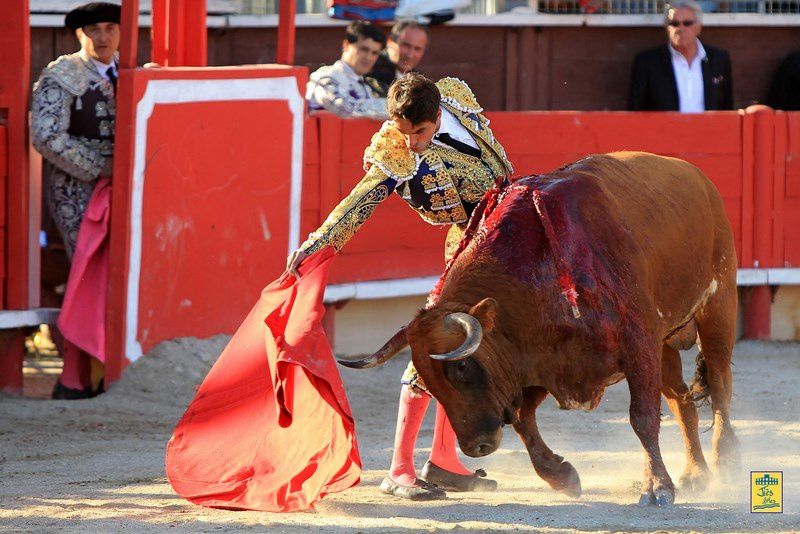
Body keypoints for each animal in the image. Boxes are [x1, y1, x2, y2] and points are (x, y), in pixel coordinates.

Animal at [340, 151, 740, 506]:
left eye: (462, 367)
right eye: (428, 379)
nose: (475, 447)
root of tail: (697, 176)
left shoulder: (637, 344)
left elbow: (642, 417)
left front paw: (656, 488)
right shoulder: (538, 361)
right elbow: (522, 419)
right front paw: (562, 476)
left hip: (718, 306)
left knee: (720, 385)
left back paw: (726, 463)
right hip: (666, 342)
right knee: (682, 400)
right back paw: (695, 474)